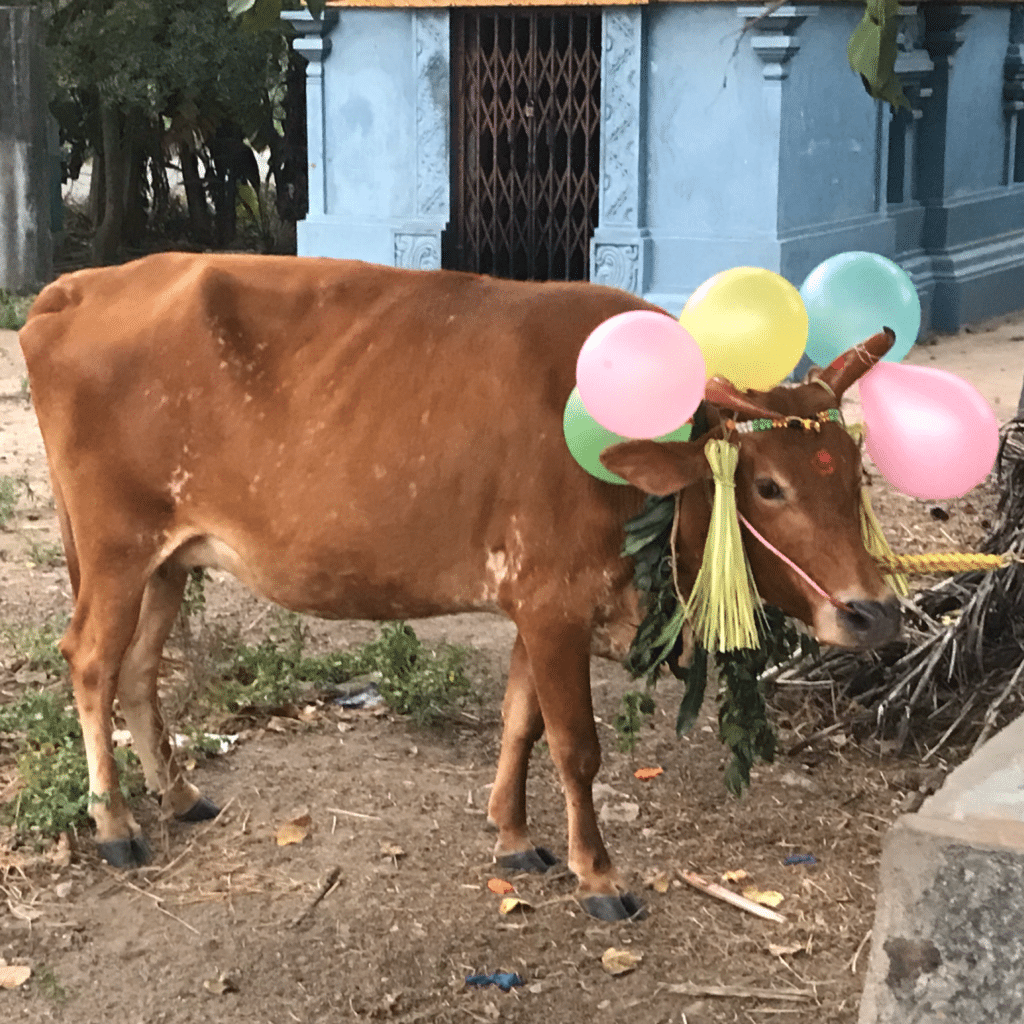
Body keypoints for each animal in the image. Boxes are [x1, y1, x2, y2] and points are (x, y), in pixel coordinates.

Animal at [16, 253, 897, 921]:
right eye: (769, 486)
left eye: (856, 472)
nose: (872, 612)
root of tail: (75, 289)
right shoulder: (554, 603)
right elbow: (576, 746)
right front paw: (599, 874)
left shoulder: (534, 606)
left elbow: (520, 724)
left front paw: (513, 835)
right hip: (117, 549)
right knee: (90, 662)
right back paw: (115, 823)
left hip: (168, 560)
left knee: (137, 671)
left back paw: (179, 794)